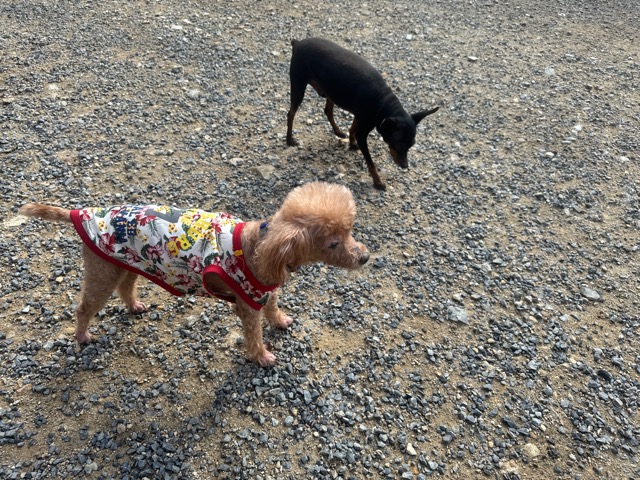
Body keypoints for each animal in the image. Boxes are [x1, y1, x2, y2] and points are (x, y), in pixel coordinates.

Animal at [19, 182, 370, 366]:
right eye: (333, 243)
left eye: (350, 231)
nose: (365, 257)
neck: (261, 249)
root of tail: (81, 212)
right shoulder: (247, 305)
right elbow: (254, 334)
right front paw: (262, 357)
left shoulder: (266, 290)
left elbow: (273, 308)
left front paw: (281, 321)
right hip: (102, 272)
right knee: (83, 308)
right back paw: (82, 336)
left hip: (129, 264)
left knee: (126, 288)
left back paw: (134, 306)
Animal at [286, 37, 439, 190]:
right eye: (399, 145)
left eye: (412, 145)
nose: (405, 166)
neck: (383, 102)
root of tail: (298, 42)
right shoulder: (363, 130)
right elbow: (370, 162)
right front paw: (377, 181)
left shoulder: (359, 116)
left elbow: (352, 128)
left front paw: (352, 143)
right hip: (298, 86)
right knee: (291, 114)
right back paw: (289, 139)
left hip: (331, 91)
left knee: (328, 111)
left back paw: (338, 132)